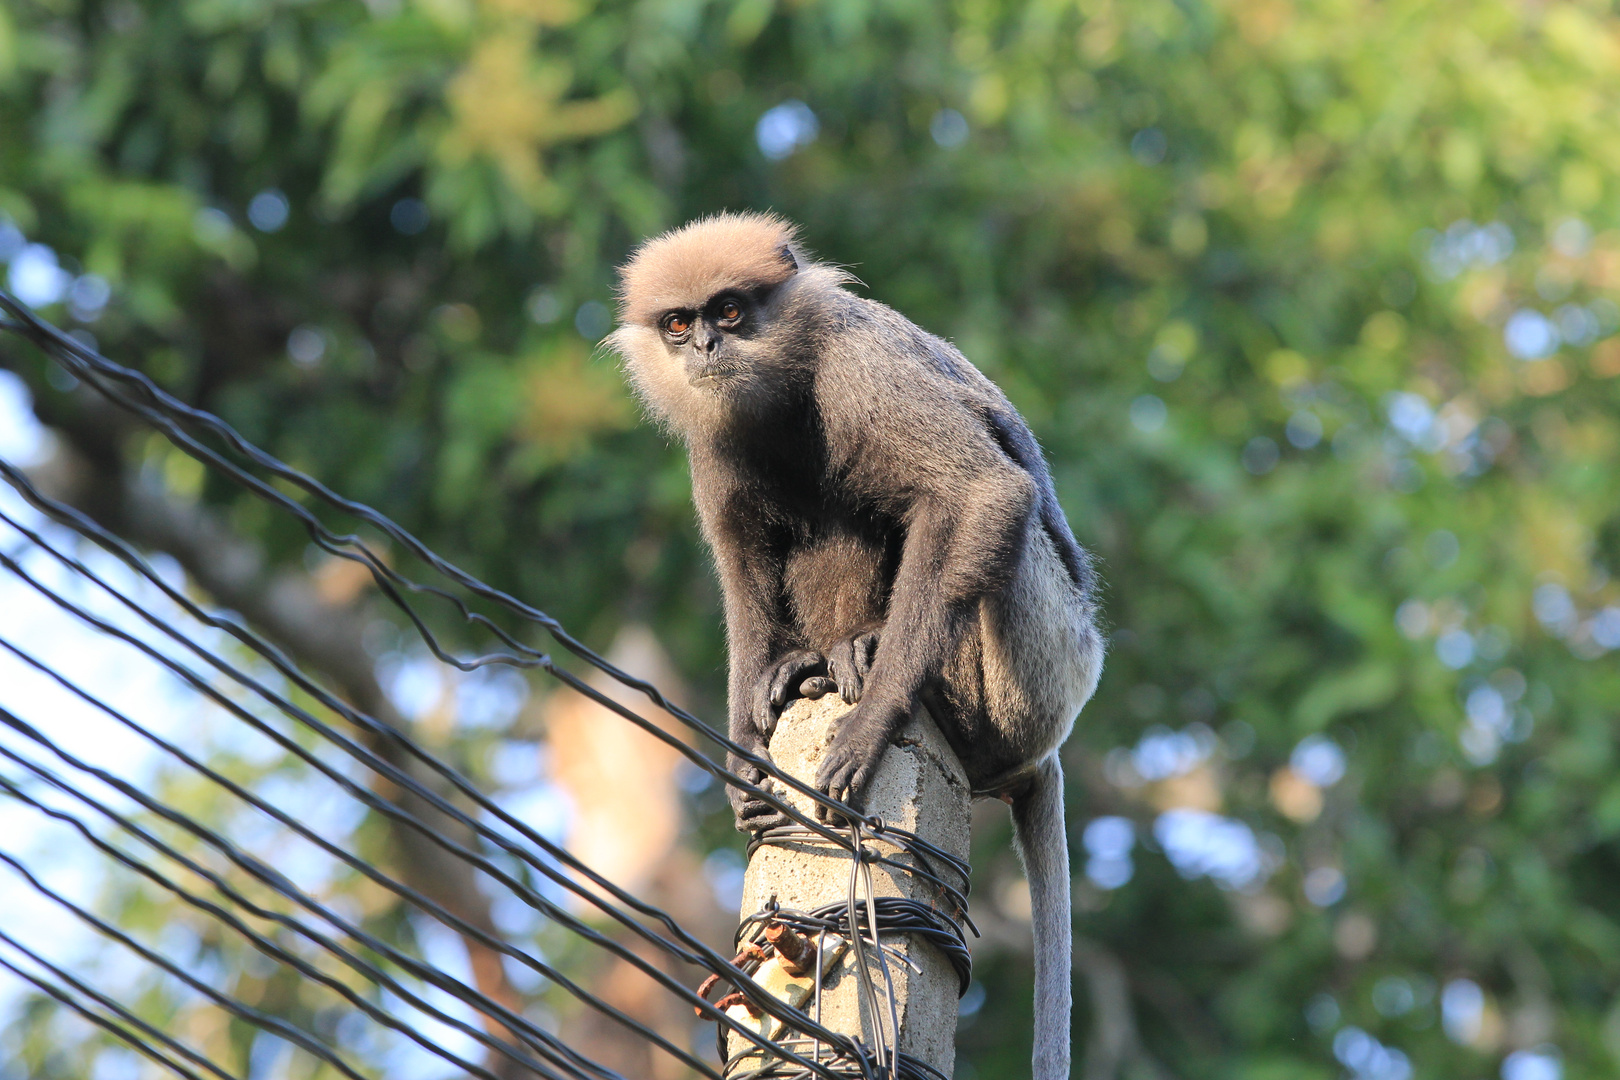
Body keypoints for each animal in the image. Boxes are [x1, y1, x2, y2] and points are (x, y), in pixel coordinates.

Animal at [609, 210, 1101, 1080]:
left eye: (729, 310)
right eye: (678, 323)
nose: (707, 347)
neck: (785, 378)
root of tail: (1039, 751)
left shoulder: (858, 365)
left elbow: (986, 490)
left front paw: (871, 723)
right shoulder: (714, 436)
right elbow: (741, 561)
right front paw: (746, 747)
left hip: (1043, 661)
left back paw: (885, 670)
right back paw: (812, 667)